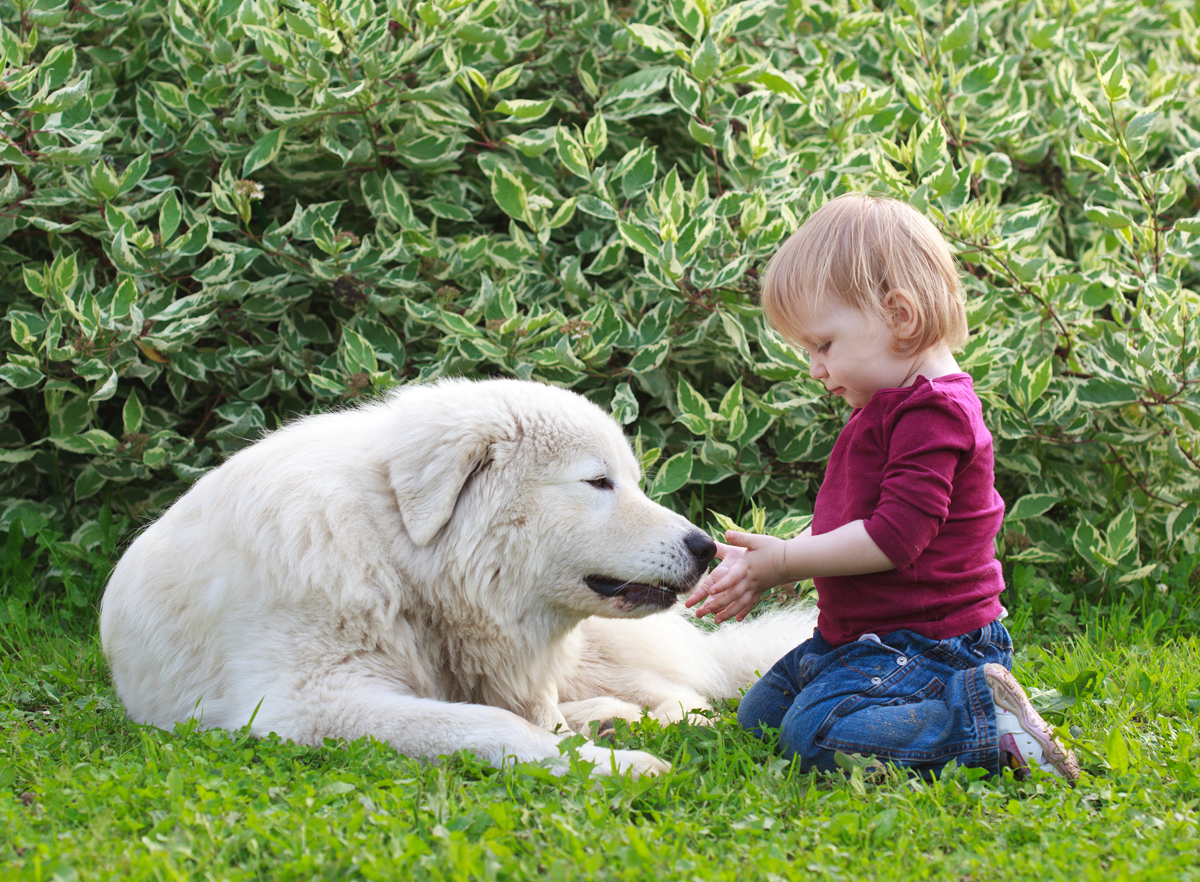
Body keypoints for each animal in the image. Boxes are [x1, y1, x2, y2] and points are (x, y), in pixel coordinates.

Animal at [100, 376, 816, 777]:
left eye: (631, 481)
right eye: (598, 482)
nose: (706, 548)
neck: (399, 557)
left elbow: (524, 720)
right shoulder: (309, 704)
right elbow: (494, 725)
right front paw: (616, 764)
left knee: (687, 696)